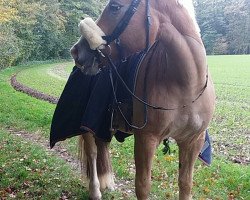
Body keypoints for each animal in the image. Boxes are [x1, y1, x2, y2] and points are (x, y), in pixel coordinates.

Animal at [70, 0, 215, 200]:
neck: (187, 86)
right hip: (87, 124)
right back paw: (95, 190)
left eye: (115, 7)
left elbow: (185, 184)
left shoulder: (192, 141)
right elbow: (143, 185)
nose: (76, 51)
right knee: (92, 152)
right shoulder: (146, 139)